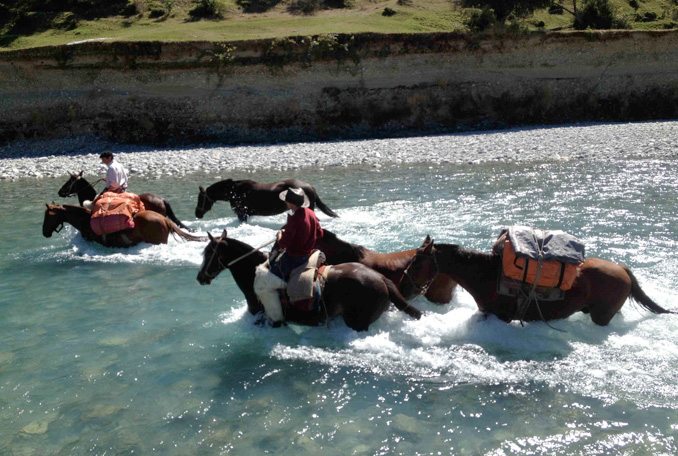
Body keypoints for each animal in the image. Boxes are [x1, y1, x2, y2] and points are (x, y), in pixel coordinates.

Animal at [401, 238, 675, 326]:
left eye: (415, 261)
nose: (403, 284)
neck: (484, 275)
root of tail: (622, 269)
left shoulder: (499, 316)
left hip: (602, 316)